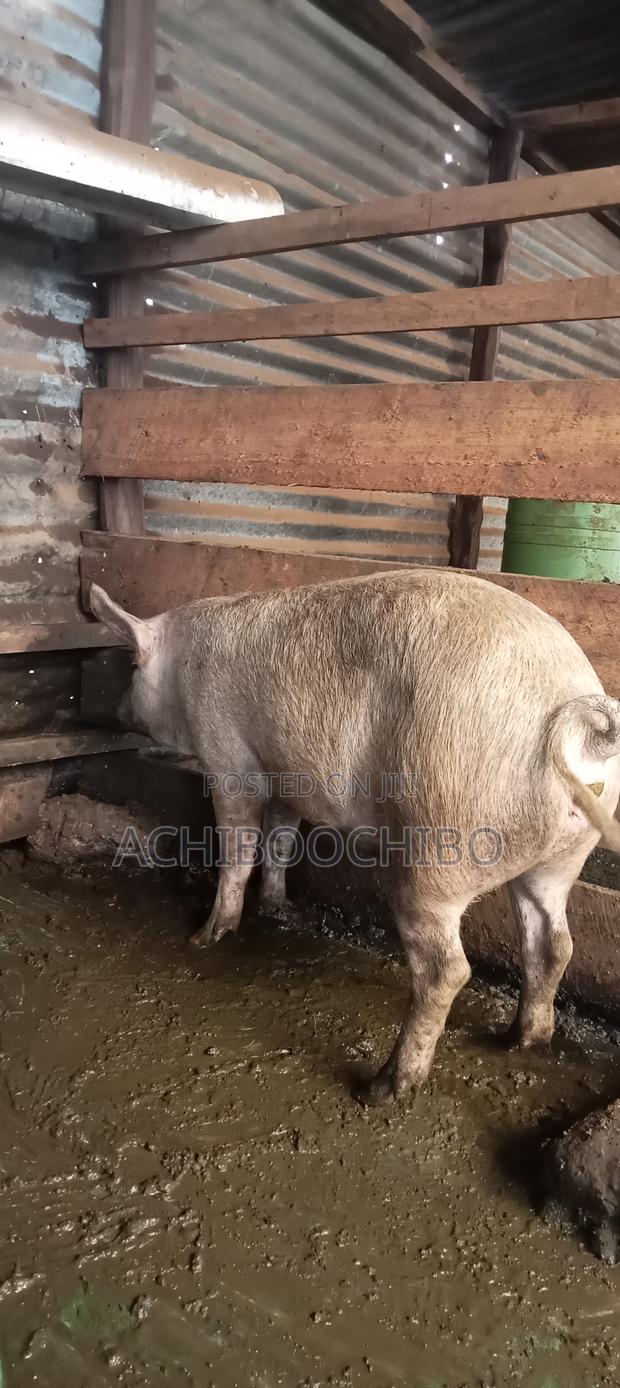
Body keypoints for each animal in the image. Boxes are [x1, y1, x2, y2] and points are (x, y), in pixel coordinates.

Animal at [90, 569, 620, 1105]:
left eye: (132, 666)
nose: (115, 709)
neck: (181, 666)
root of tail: (574, 715)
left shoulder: (227, 756)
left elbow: (237, 847)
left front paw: (204, 938)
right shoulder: (290, 779)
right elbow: (280, 839)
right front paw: (280, 909)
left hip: (442, 849)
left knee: (448, 970)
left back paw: (382, 1087)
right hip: (562, 856)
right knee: (555, 943)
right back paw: (520, 1040)